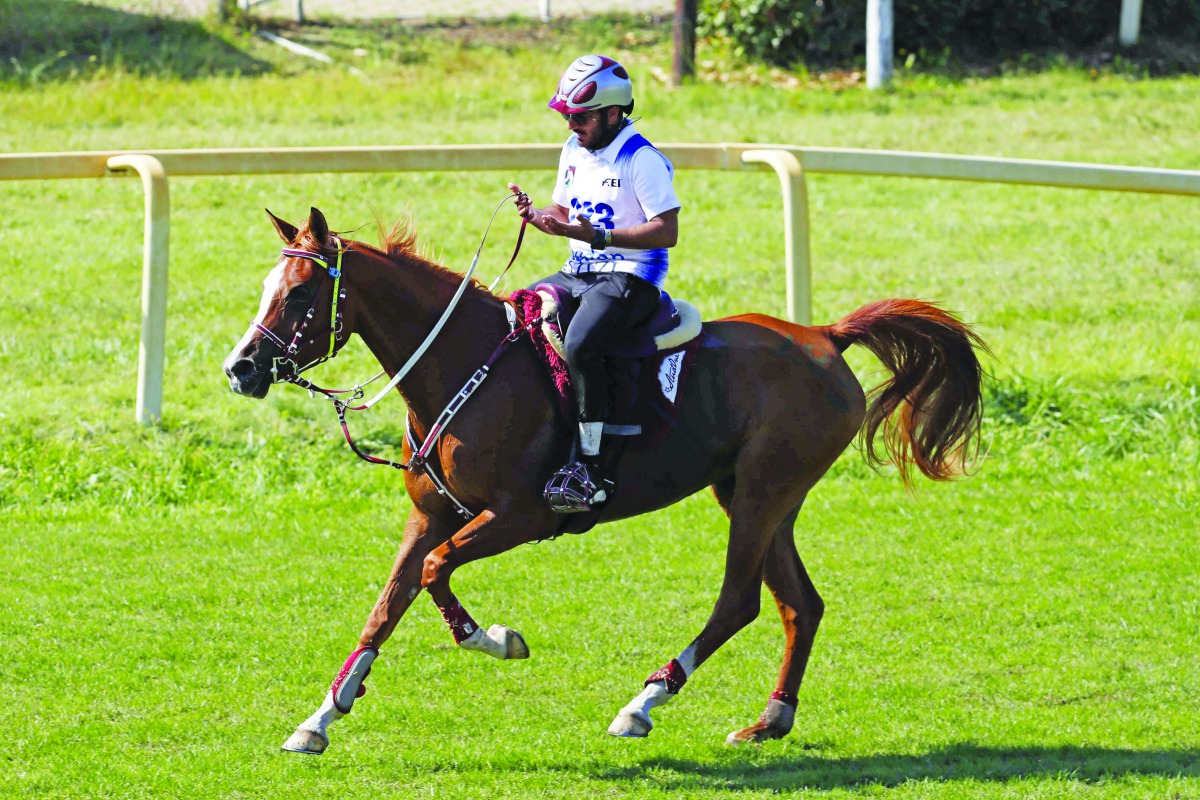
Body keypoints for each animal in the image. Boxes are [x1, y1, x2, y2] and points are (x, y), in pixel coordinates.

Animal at [223, 206, 989, 754]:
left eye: (300, 296)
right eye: (267, 289)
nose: (241, 368)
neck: (467, 365)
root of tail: (825, 337)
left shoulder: (518, 519)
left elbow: (438, 572)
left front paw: (494, 638)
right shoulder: (431, 515)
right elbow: (389, 604)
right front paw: (320, 717)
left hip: (762, 494)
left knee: (739, 601)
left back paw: (643, 703)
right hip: (757, 497)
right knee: (801, 605)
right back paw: (769, 720)